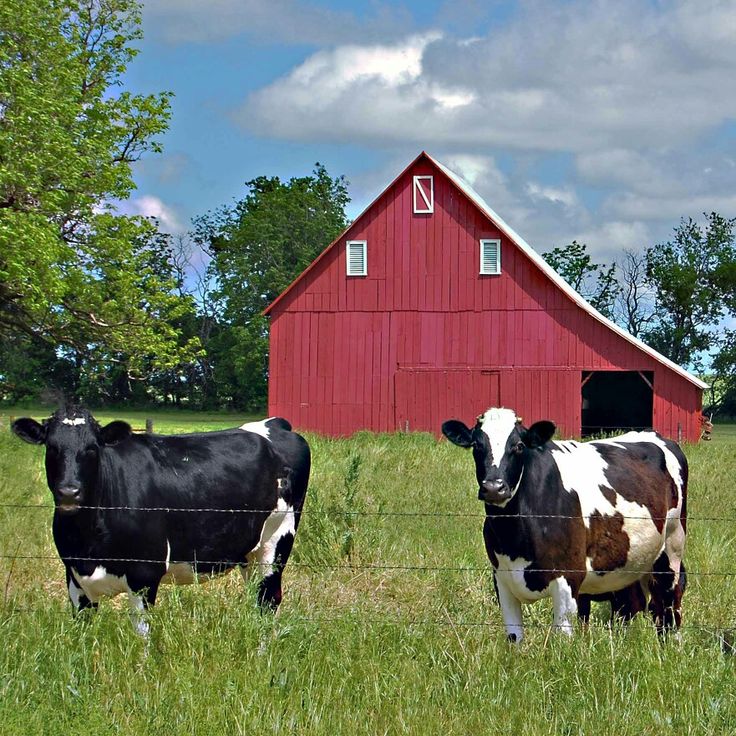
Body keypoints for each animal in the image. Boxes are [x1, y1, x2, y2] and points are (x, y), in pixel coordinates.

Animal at [12, 406, 310, 636]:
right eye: (52, 447)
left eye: (92, 449)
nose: (69, 492)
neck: (88, 541)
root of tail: (274, 424)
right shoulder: (74, 576)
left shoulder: (144, 575)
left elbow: (142, 634)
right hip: (249, 552)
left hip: (276, 542)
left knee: (268, 601)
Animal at [440, 408, 688, 644]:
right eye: (476, 445)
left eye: (519, 446)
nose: (494, 487)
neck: (515, 537)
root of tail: (653, 434)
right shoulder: (502, 578)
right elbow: (514, 638)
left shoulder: (568, 578)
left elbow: (561, 638)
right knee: (634, 604)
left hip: (672, 548)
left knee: (669, 605)